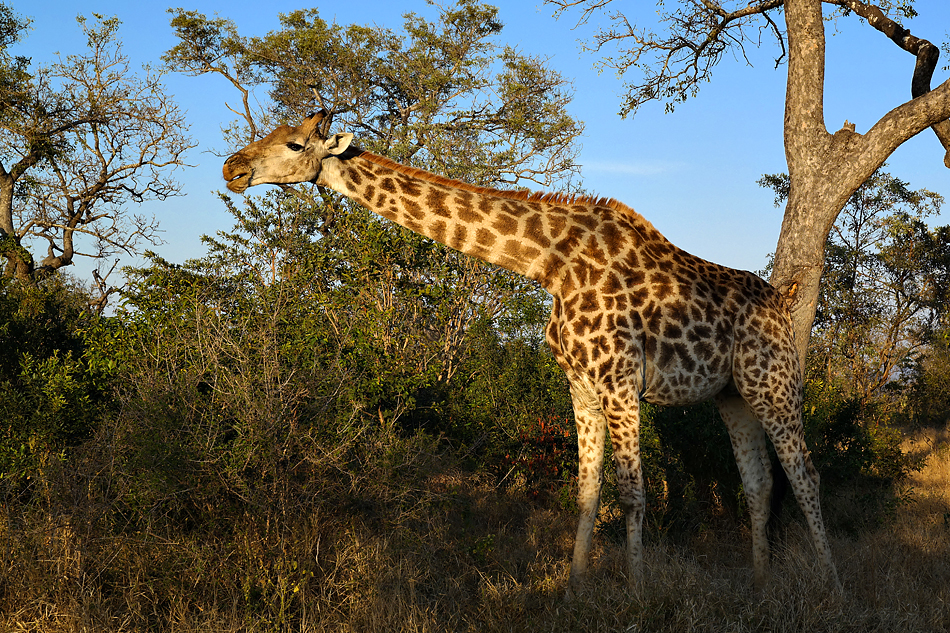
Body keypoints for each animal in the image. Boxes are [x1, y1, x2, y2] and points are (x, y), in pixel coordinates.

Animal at [223, 110, 840, 592]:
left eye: (294, 144)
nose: (233, 169)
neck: (549, 263)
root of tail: (784, 300)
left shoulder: (620, 381)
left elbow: (633, 492)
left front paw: (639, 594)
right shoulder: (582, 385)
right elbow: (587, 490)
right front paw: (574, 588)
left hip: (775, 382)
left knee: (807, 474)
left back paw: (832, 585)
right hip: (734, 394)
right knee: (760, 483)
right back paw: (759, 583)